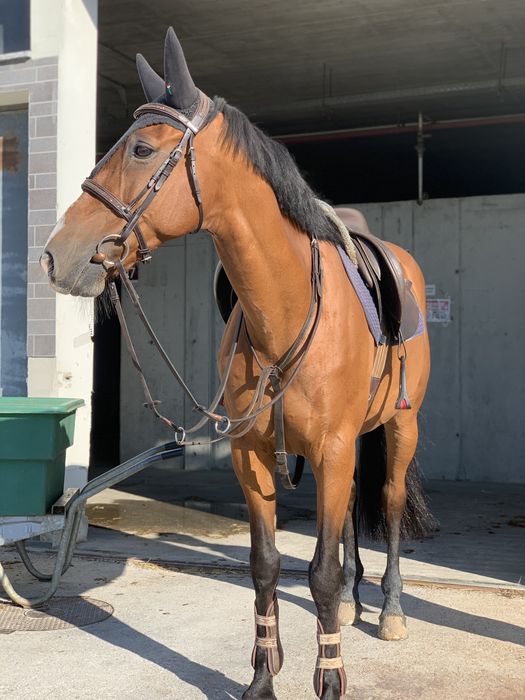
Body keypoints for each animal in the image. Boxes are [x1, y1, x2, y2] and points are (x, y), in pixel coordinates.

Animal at [41, 28, 434, 700]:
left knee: (383, 503)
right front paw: (261, 677)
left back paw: (389, 610)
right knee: (350, 518)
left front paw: (329, 680)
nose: (54, 255)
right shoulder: (252, 454)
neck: (286, 309)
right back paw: (355, 602)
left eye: (141, 148)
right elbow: (266, 565)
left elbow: (319, 571)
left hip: (397, 429)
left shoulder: (333, 447)